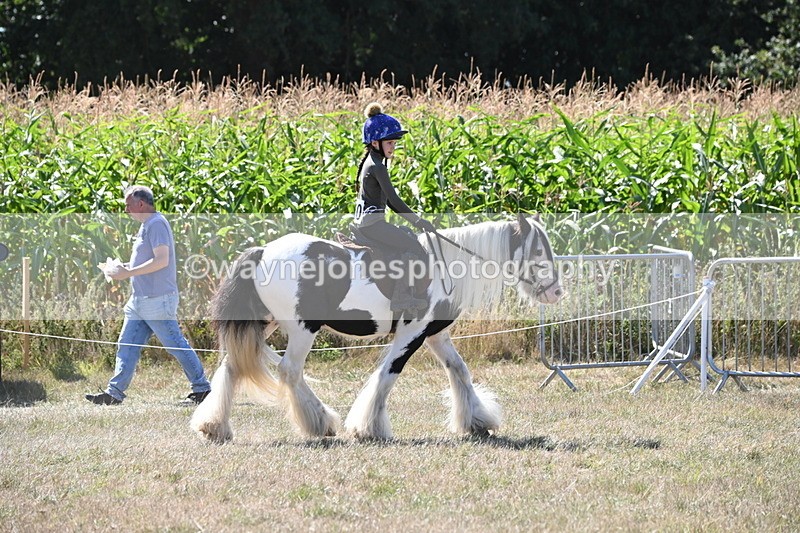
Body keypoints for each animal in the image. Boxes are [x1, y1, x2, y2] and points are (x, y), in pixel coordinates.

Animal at [190, 214, 563, 443]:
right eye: (538, 249)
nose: (557, 292)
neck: (446, 267)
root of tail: (263, 250)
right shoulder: (411, 334)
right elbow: (387, 375)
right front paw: (368, 427)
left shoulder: (436, 335)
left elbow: (459, 370)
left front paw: (477, 421)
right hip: (302, 329)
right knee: (289, 370)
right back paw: (320, 422)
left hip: (264, 323)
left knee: (233, 367)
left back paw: (214, 427)